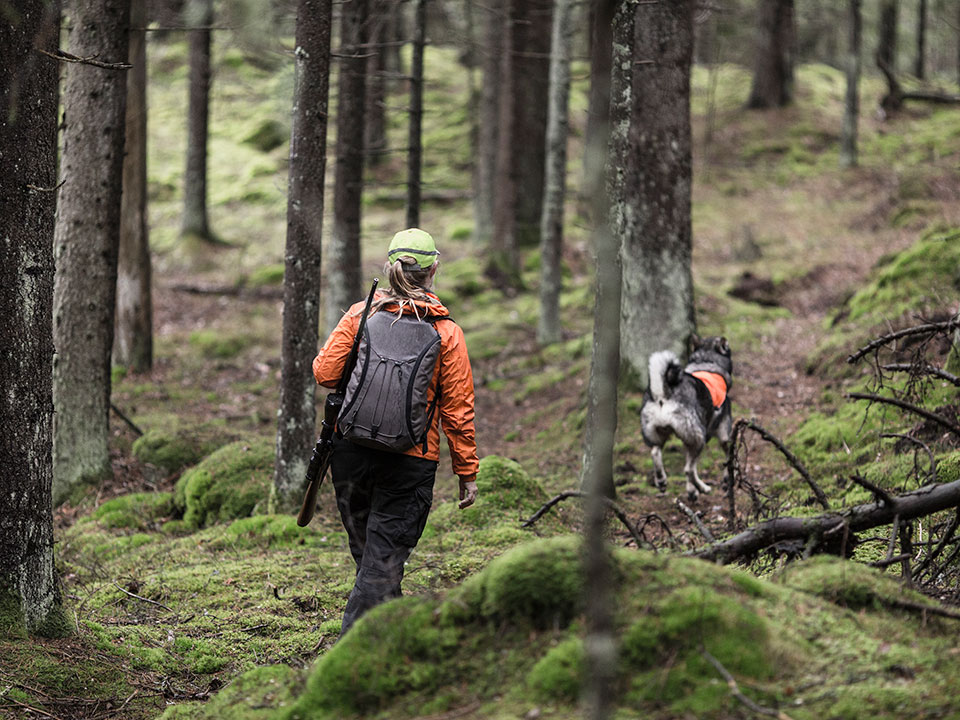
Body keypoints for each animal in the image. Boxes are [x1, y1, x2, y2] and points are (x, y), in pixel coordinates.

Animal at [636, 336, 736, 500]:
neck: (706, 361)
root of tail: (664, 392)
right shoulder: (724, 434)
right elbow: (727, 457)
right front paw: (726, 478)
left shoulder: (687, 441)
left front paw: (691, 491)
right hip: (699, 439)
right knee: (688, 469)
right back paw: (703, 488)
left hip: (658, 434)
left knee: (655, 452)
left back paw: (662, 480)